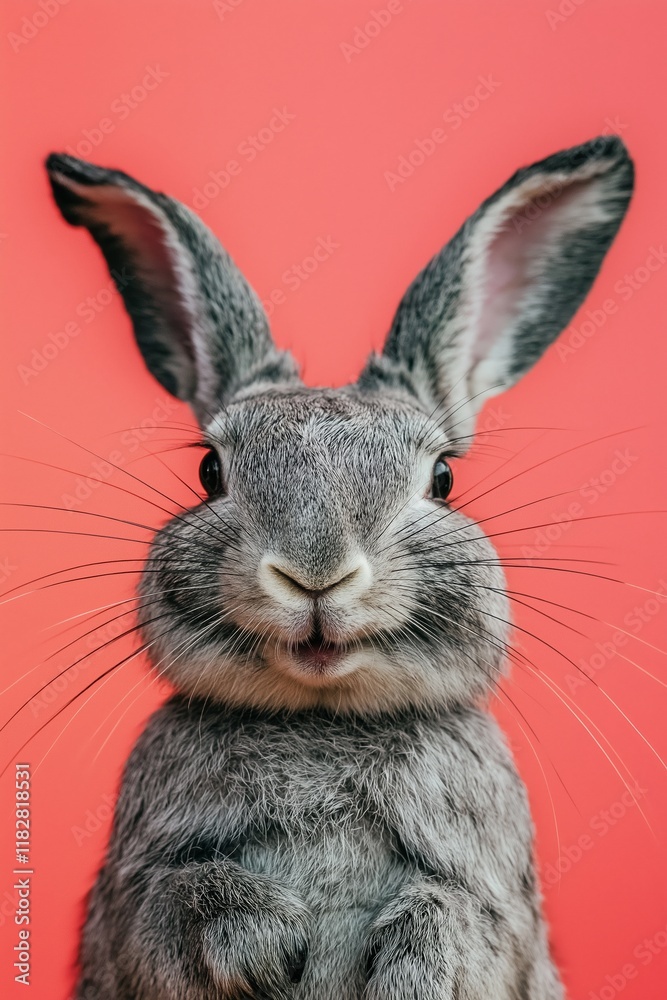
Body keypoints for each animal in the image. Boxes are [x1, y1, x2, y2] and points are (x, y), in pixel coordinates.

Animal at [45, 134, 633, 1000]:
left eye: (442, 480)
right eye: (209, 472)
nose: (315, 570)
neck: (322, 720)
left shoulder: (496, 908)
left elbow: (459, 922)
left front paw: (407, 970)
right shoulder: (136, 896)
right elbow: (173, 906)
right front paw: (263, 943)